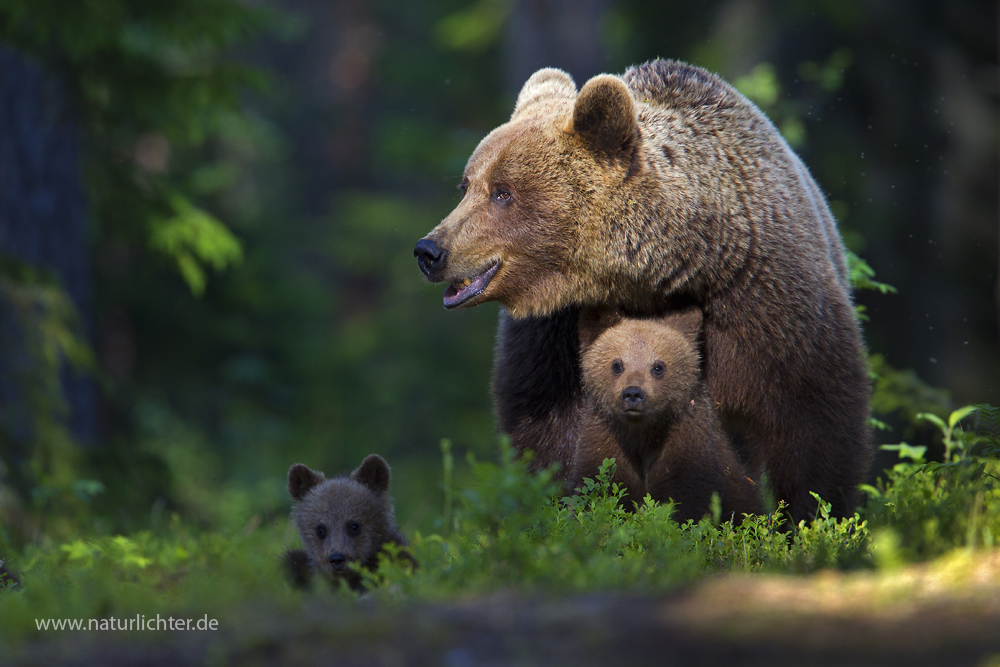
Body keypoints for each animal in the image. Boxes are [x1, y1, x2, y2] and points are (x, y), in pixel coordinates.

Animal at [414, 61, 868, 520]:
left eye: (503, 192)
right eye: (466, 185)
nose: (430, 250)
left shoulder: (762, 301)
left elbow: (812, 420)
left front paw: (812, 514)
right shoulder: (555, 336)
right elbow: (547, 433)